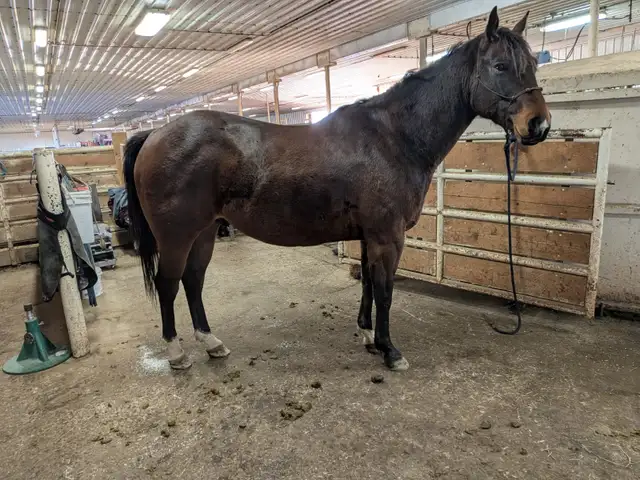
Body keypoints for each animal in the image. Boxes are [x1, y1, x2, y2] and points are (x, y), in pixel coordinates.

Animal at [123, 7, 550, 371]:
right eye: (500, 66)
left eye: (532, 66)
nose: (539, 125)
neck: (394, 137)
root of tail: (154, 133)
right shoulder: (388, 236)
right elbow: (385, 291)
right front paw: (390, 350)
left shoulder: (368, 235)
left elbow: (367, 285)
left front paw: (367, 336)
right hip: (177, 235)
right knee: (167, 284)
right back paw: (177, 353)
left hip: (206, 230)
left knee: (193, 281)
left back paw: (212, 343)